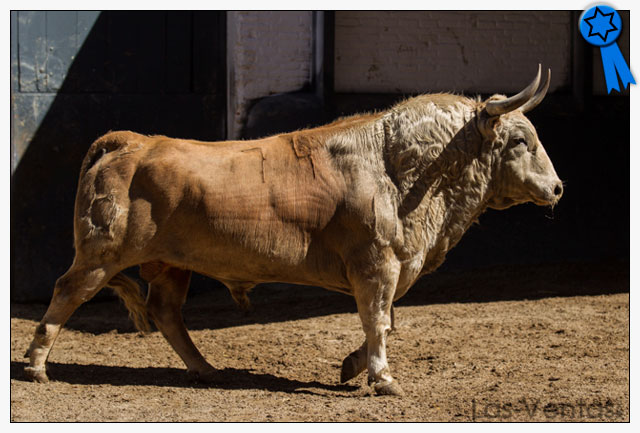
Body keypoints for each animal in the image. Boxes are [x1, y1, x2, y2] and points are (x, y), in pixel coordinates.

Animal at [27, 65, 564, 394]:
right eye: (520, 140)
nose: (557, 188)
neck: (394, 166)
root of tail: (131, 141)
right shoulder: (376, 266)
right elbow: (377, 319)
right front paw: (382, 377)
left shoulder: (391, 269)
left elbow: (385, 320)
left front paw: (354, 366)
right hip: (101, 253)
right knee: (68, 292)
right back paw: (35, 364)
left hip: (172, 265)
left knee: (166, 313)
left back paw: (205, 369)